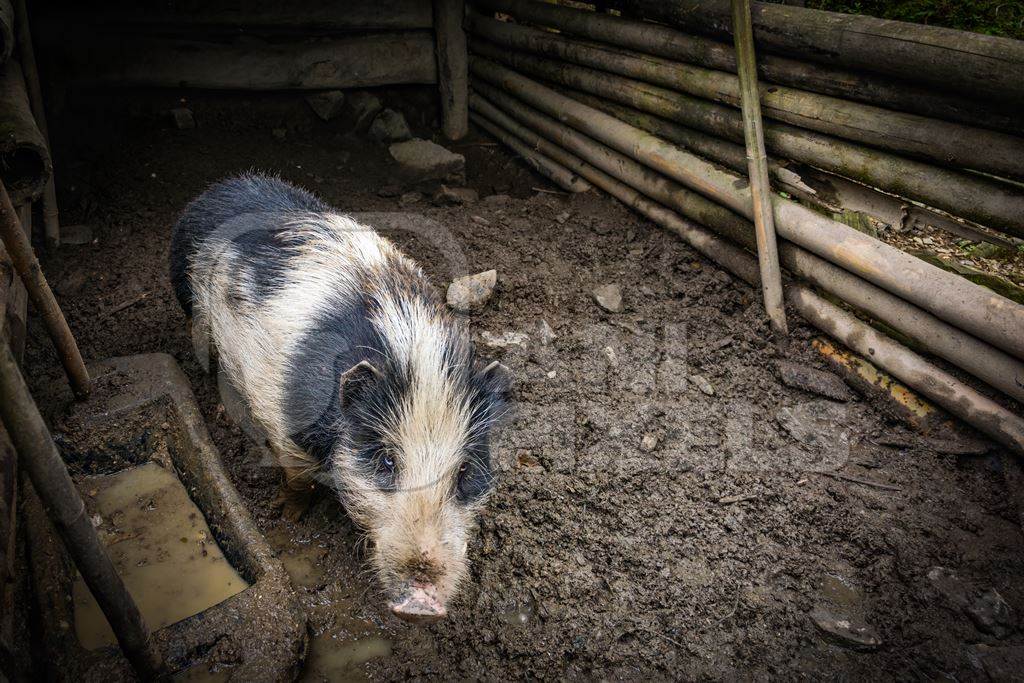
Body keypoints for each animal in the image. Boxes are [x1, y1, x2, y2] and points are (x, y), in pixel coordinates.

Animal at [169, 174, 509, 622]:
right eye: (386, 461)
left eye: (466, 471)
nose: (421, 603)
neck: (413, 355)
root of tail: (223, 187)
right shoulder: (287, 427)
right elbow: (297, 478)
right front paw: (288, 515)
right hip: (190, 299)